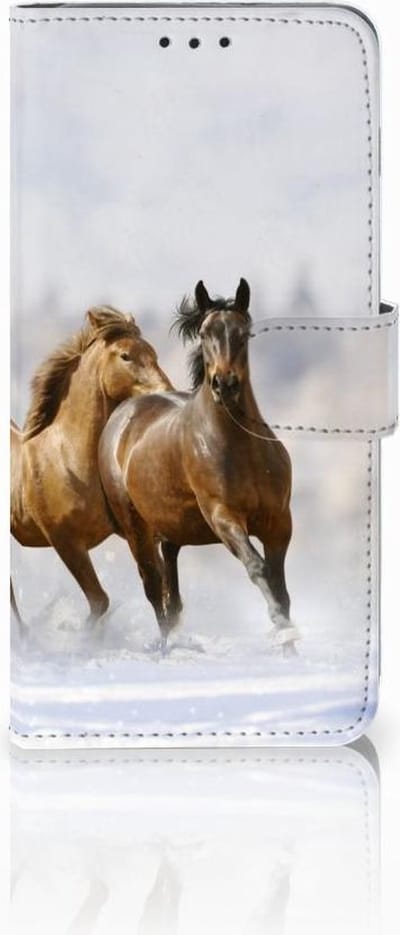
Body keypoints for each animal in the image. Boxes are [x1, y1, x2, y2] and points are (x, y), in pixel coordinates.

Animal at [11, 306, 172, 625]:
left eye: (153, 352)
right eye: (125, 356)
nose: (165, 391)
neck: (68, 460)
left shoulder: (136, 531)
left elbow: (158, 588)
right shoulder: (66, 541)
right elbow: (100, 601)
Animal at [98, 279, 299, 653]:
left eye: (243, 333)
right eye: (205, 333)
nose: (225, 384)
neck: (241, 448)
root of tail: (123, 414)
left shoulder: (279, 522)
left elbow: (280, 585)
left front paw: (290, 644)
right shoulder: (223, 517)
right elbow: (258, 568)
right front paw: (282, 630)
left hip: (171, 529)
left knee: (171, 588)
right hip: (136, 528)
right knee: (153, 587)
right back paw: (165, 647)